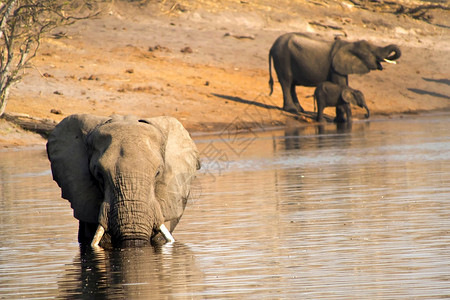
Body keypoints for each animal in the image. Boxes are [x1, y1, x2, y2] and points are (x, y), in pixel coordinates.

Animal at [268, 31, 402, 113]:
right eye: (371, 53)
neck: (349, 44)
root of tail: (272, 47)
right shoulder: (335, 67)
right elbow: (340, 85)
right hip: (282, 57)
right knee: (286, 82)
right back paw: (291, 110)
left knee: (292, 84)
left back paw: (299, 110)